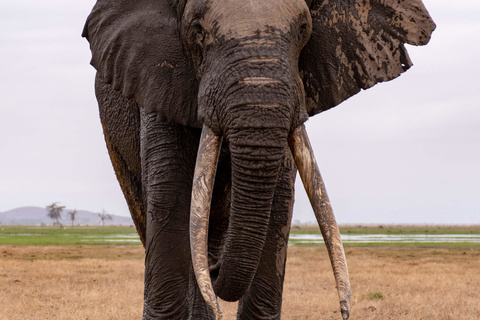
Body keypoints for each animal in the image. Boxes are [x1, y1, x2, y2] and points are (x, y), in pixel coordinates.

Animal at [82, 0, 436, 318]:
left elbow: (278, 204)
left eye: (304, 28)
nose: (216, 268)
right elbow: (170, 198)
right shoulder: (157, 80)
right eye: (197, 31)